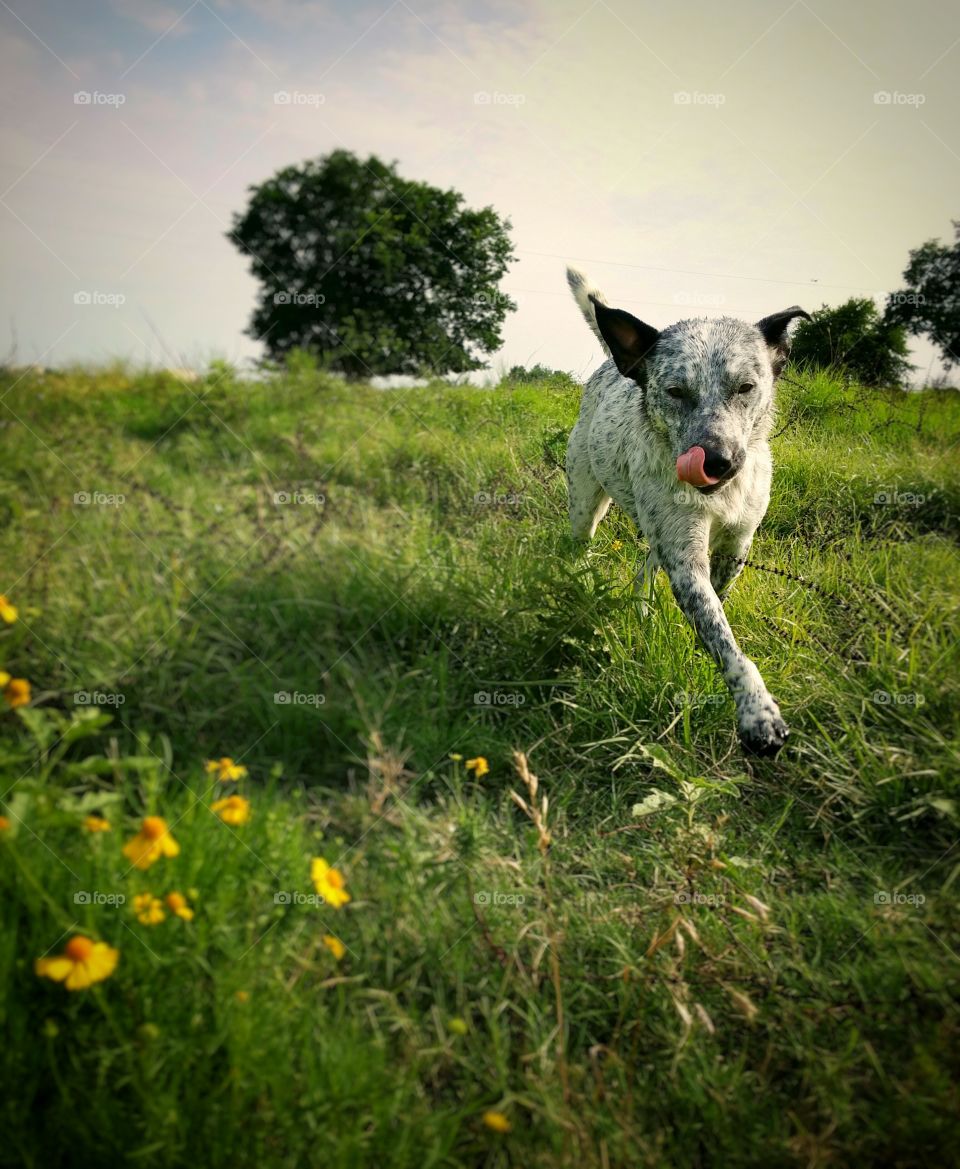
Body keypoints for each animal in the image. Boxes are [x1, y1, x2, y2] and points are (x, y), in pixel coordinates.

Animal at [565, 267, 804, 757]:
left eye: (745, 387)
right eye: (676, 392)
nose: (716, 461)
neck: (718, 498)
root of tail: (613, 367)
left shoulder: (736, 544)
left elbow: (719, 609)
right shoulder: (685, 556)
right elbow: (721, 633)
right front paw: (757, 711)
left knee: (645, 567)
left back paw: (639, 607)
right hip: (587, 506)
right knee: (582, 543)